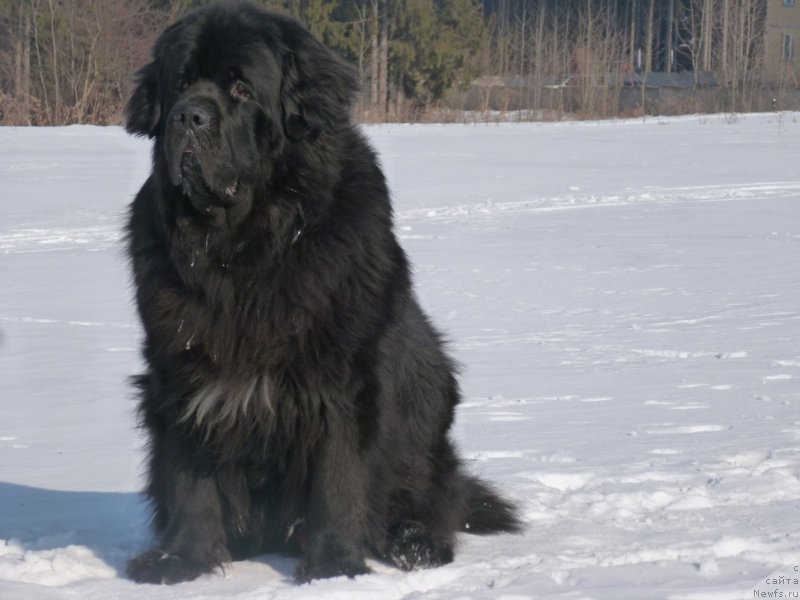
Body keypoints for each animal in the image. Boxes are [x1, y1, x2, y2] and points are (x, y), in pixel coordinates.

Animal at [123, 1, 520, 580]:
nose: (188, 117)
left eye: (240, 88)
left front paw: (334, 566)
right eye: (180, 84)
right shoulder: (183, 368)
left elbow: (339, 475)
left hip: (428, 407)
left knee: (431, 498)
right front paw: (181, 559)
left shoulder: (344, 377)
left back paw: (415, 543)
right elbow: (188, 473)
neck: (245, 247)